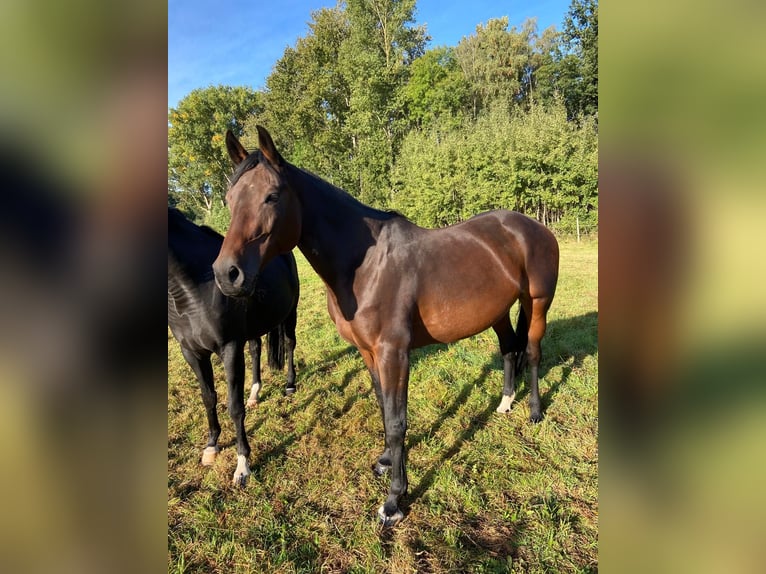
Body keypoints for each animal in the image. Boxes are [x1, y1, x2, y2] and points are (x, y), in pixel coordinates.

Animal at [168, 207, 299, 486]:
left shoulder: (229, 348)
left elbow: (234, 406)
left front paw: (242, 464)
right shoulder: (192, 353)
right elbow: (208, 397)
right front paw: (211, 447)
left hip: (290, 313)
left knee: (289, 344)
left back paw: (290, 385)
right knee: (256, 349)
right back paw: (255, 394)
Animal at [212, 127, 559, 525]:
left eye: (271, 196)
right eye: (229, 199)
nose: (226, 274)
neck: (363, 266)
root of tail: (533, 227)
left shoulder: (394, 352)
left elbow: (397, 421)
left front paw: (394, 500)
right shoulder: (368, 352)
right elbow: (383, 408)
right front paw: (386, 462)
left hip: (537, 303)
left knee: (532, 352)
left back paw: (534, 412)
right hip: (498, 312)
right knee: (509, 349)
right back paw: (504, 403)